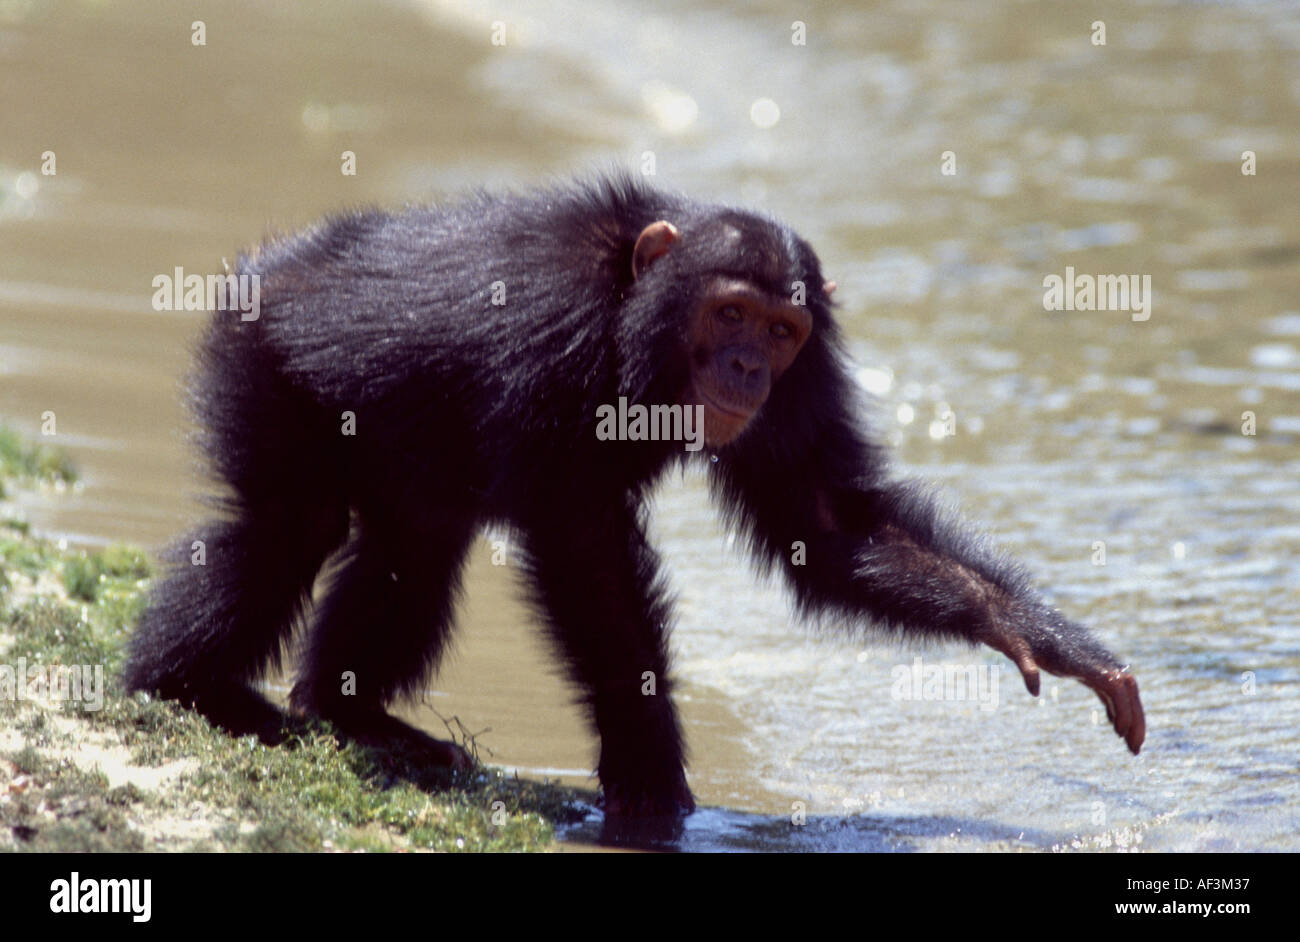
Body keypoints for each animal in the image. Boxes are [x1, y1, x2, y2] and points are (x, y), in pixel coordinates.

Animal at [124, 172, 1149, 821]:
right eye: (729, 313)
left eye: (778, 332)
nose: (744, 367)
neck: (637, 310)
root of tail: (264, 262)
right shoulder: (552, 324)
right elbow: (588, 558)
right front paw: (652, 775)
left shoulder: (807, 377)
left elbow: (822, 518)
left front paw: (1031, 628)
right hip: (262, 366)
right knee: (283, 532)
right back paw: (188, 686)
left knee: (412, 545)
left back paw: (351, 713)